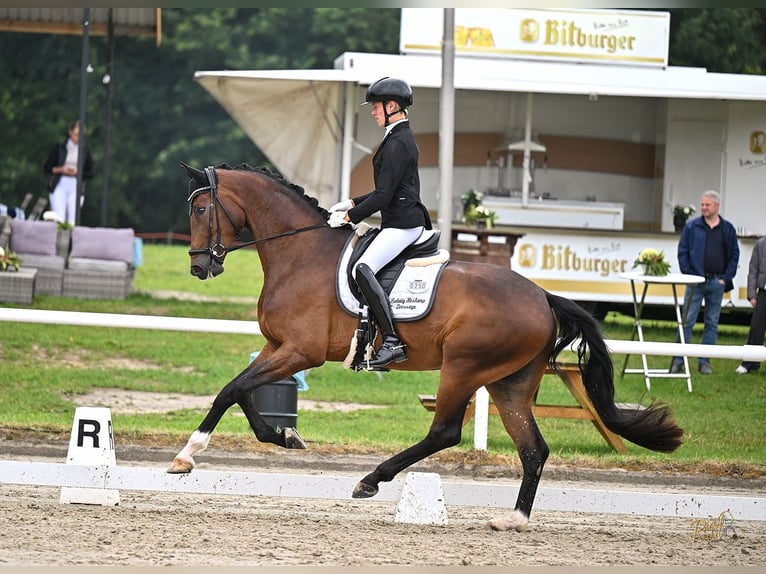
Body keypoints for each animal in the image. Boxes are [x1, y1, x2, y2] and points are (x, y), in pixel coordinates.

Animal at [169, 162, 684, 531]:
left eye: (200, 210)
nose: (198, 267)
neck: (300, 253)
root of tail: (542, 296)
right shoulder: (276, 346)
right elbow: (241, 392)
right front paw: (282, 436)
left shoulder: (299, 351)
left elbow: (231, 390)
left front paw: (189, 455)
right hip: (509, 383)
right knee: (533, 448)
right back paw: (514, 520)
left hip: (463, 368)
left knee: (446, 433)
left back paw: (371, 480)